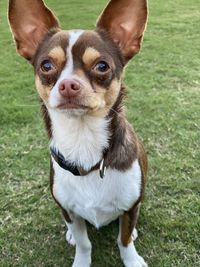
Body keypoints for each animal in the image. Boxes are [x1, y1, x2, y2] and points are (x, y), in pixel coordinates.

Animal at [8, 0, 148, 267]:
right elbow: (85, 243)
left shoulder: (131, 205)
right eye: (46, 66)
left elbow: (124, 240)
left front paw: (132, 260)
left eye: (102, 66)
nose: (68, 84)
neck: (83, 141)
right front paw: (81, 259)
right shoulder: (68, 211)